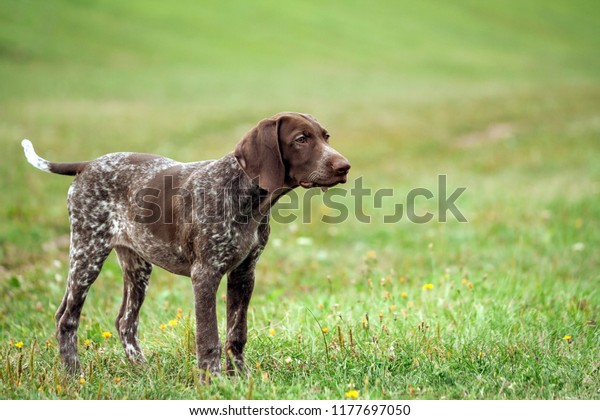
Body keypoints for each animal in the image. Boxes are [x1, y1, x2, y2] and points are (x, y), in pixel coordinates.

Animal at [22, 111, 352, 380]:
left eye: (326, 137)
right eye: (301, 139)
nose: (344, 166)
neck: (245, 195)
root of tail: (88, 164)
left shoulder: (244, 274)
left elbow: (237, 334)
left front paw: (241, 378)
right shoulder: (205, 275)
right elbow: (209, 337)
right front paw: (213, 381)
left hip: (137, 265)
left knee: (125, 321)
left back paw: (142, 369)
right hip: (88, 252)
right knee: (67, 318)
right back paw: (73, 375)